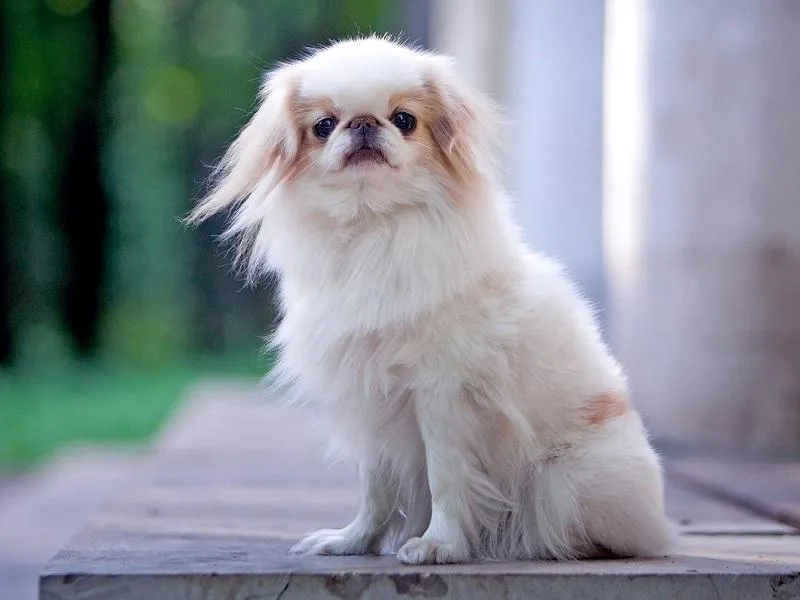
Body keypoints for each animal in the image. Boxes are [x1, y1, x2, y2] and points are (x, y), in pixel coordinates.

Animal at [191, 36, 672, 564]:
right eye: (324, 125)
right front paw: (353, 542)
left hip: (567, 482)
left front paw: (438, 544)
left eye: (404, 120)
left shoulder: (442, 396)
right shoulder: (371, 399)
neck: (373, 227)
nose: (364, 123)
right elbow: (375, 489)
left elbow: (447, 478)